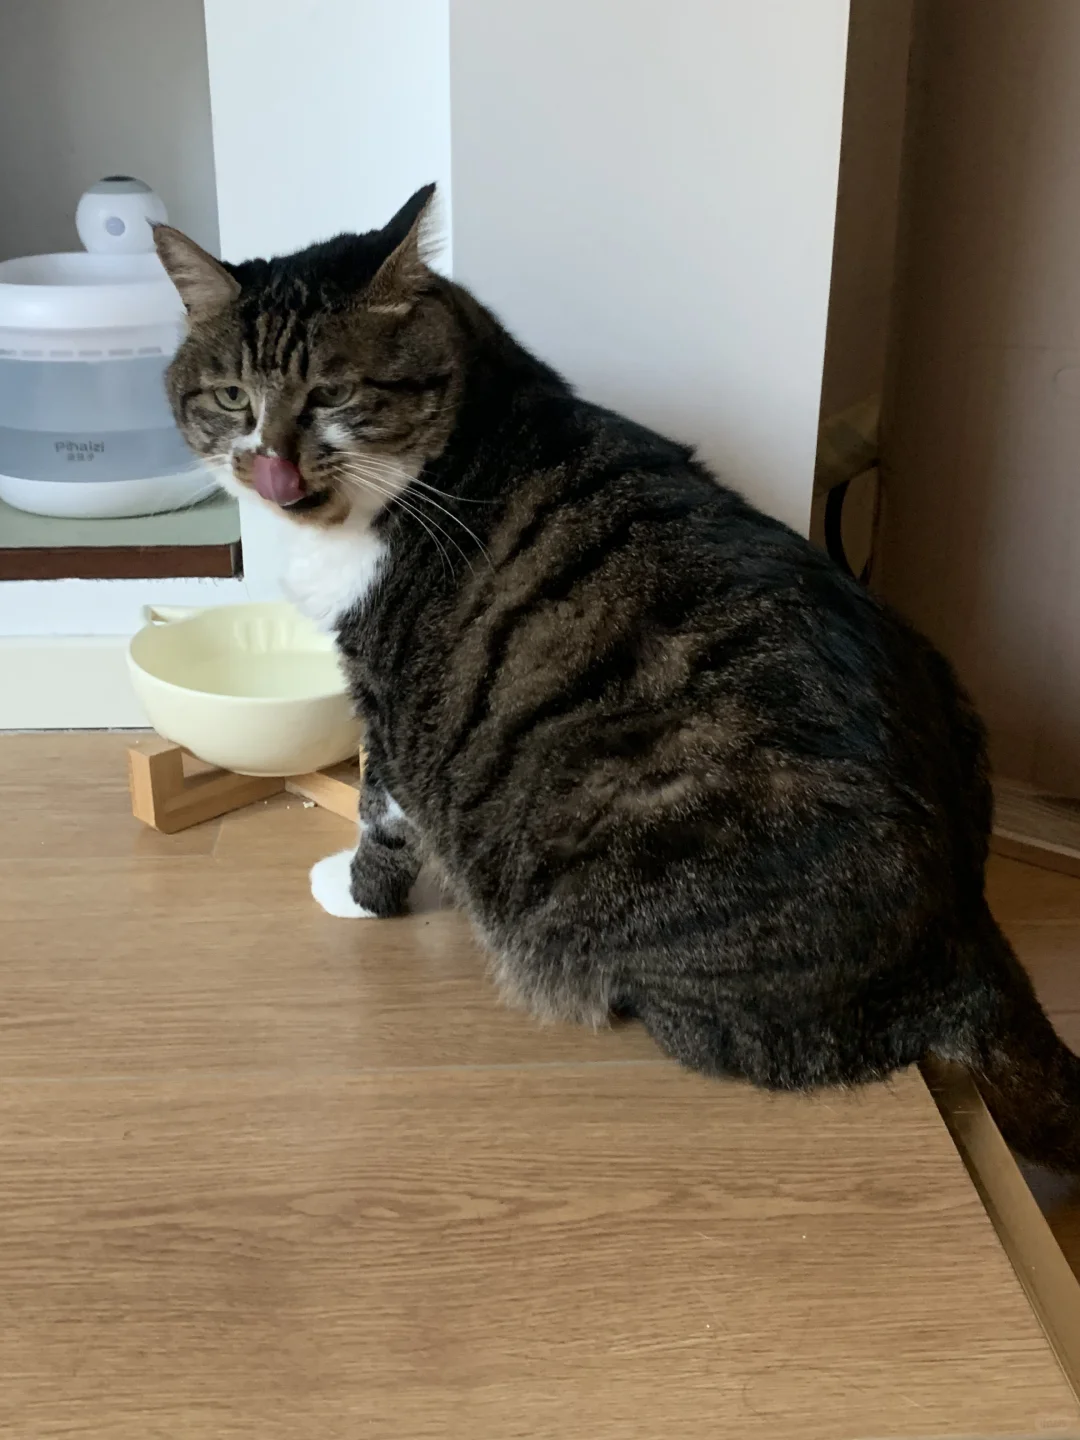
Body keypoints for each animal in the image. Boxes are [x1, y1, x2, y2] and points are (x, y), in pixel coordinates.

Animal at [155, 184, 1080, 1172]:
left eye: (332, 393)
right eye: (233, 398)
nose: (273, 467)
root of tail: (967, 933)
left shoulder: (387, 691)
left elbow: (382, 807)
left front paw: (356, 892)